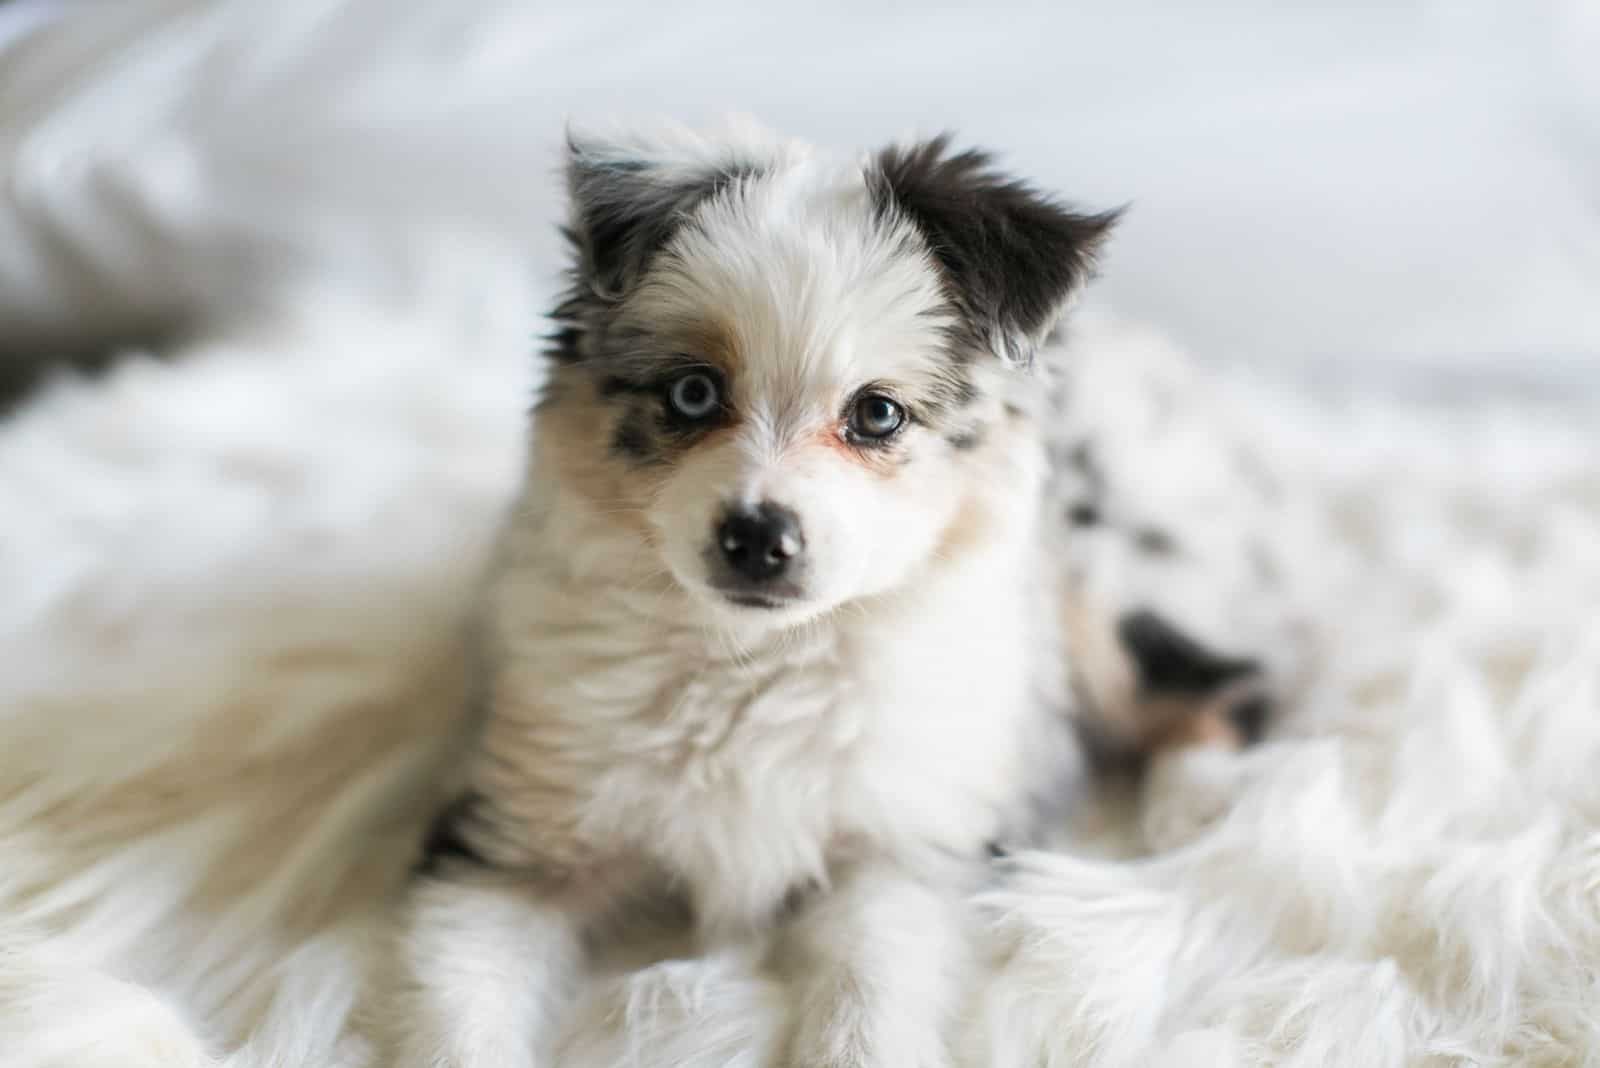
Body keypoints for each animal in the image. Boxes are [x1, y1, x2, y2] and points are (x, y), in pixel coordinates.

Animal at [380, 123, 1280, 1068]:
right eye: (692, 392)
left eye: (877, 414)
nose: (756, 539)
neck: (751, 658)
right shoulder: (511, 837)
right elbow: (459, 1021)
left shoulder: (897, 847)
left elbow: (868, 1001)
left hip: (1106, 577)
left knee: (1226, 680)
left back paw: (1191, 808)